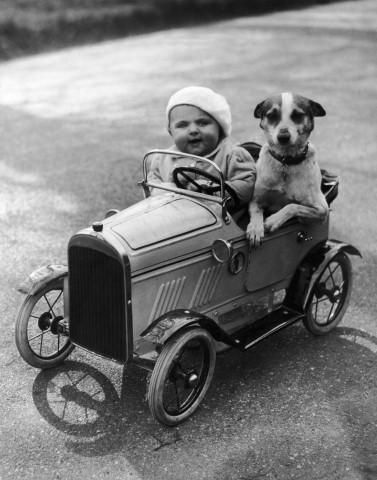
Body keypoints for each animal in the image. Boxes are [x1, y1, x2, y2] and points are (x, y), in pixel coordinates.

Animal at [245, 92, 328, 248]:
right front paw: (255, 228)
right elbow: (256, 211)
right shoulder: (255, 199)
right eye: (272, 115)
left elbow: (292, 206)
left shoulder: (322, 210)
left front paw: (273, 220)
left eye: (297, 115)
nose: (283, 136)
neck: (286, 162)